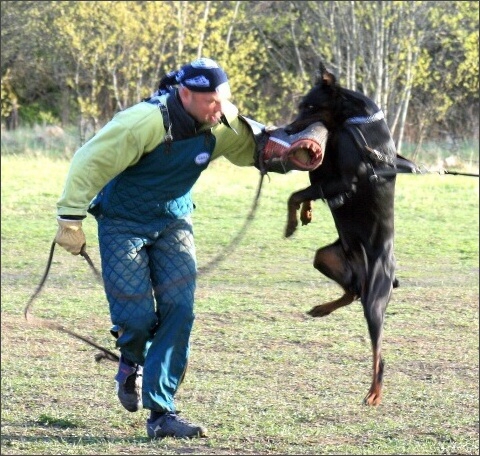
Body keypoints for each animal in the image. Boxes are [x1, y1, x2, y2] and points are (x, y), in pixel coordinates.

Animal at [284, 61, 416, 406]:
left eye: (310, 106)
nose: (288, 130)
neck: (354, 122)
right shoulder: (325, 172)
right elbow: (306, 188)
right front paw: (305, 215)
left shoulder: (344, 180)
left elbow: (298, 193)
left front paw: (292, 222)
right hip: (327, 258)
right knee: (351, 291)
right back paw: (321, 309)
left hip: (376, 299)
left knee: (379, 352)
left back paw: (374, 392)